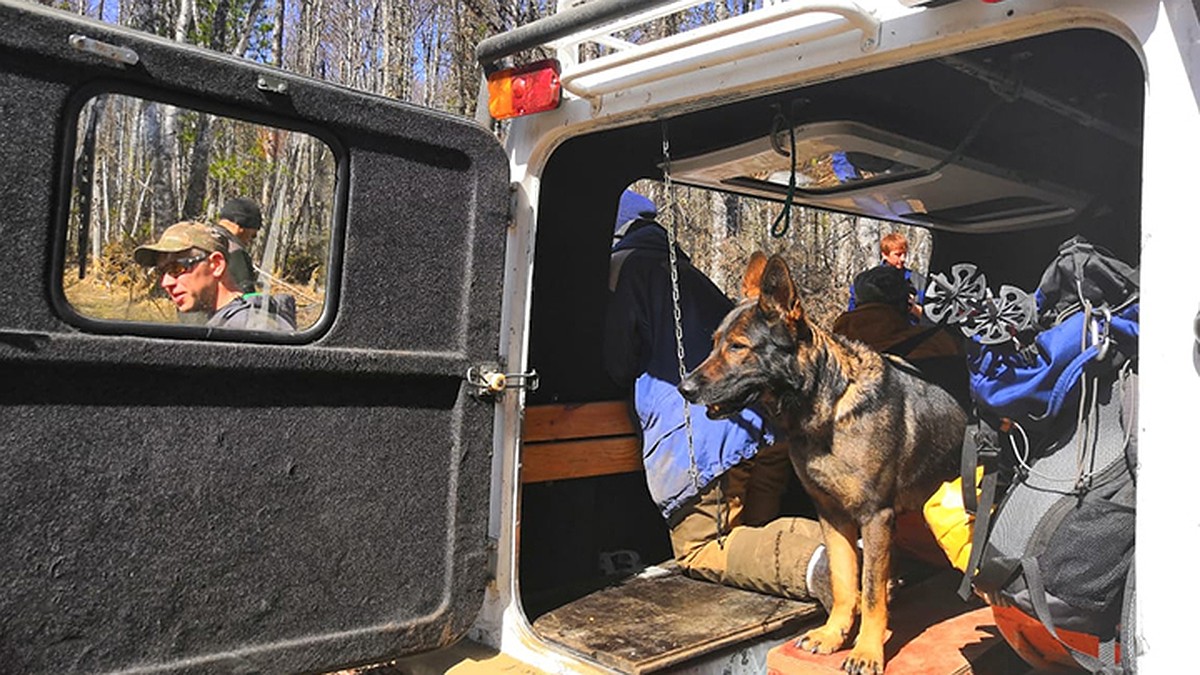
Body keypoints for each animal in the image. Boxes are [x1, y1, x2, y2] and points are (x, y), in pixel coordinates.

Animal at [686, 252, 964, 672]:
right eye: (715, 344)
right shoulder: (832, 515)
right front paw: (834, 636)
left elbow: (870, 593)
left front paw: (867, 652)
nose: (683, 387)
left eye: (738, 347)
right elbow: (844, 582)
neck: (827, 406)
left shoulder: (875, 517)